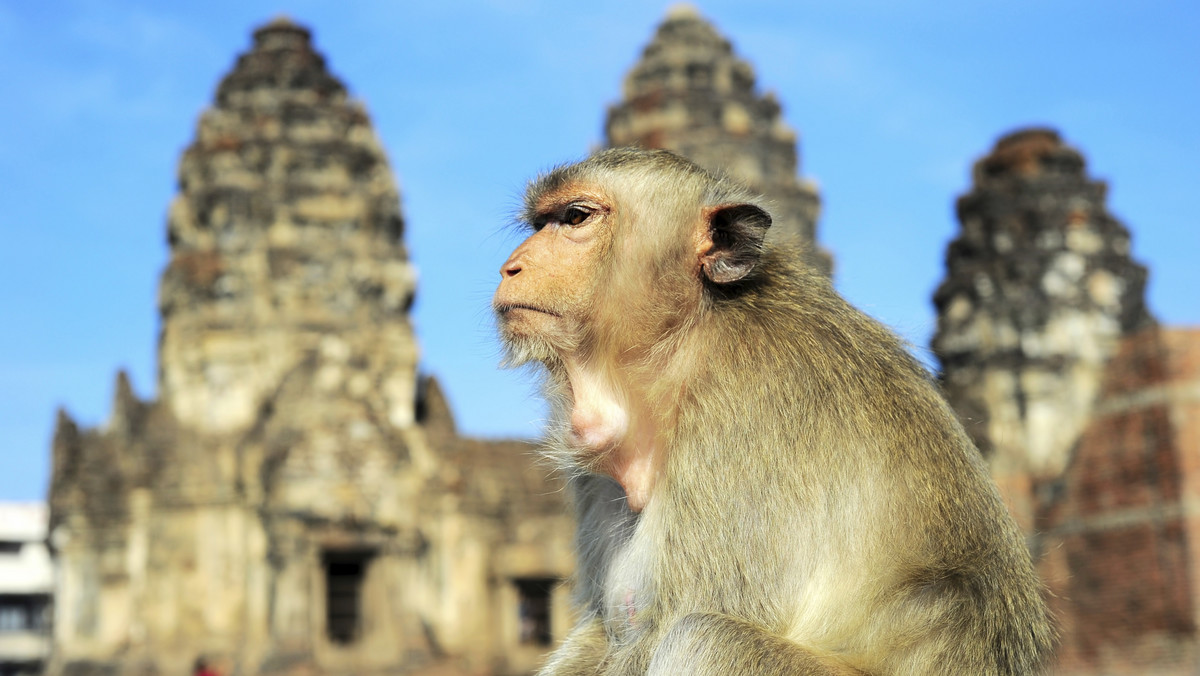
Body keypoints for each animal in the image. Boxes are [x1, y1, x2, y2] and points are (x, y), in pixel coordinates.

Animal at [494, 149, 1051, 676]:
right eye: (541, 223)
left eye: (575, 217)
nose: (511, 267)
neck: (686, 342)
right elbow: (603, 632)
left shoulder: (739, 415)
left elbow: (675, 622)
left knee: (705, 637)